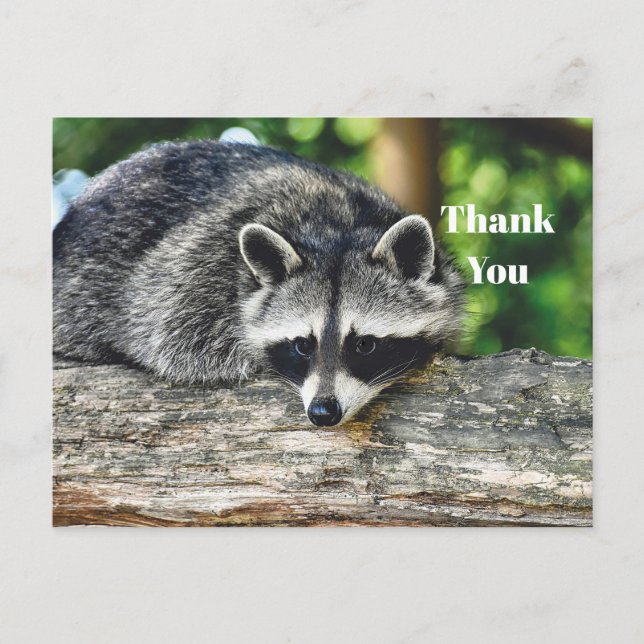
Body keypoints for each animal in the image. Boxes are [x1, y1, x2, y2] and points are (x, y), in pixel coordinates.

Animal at [54, 140, 464, 426]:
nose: (322, 412)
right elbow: (171, 341)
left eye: (364, 344)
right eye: (302, 345)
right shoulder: (191, 272)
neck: (339, 226)